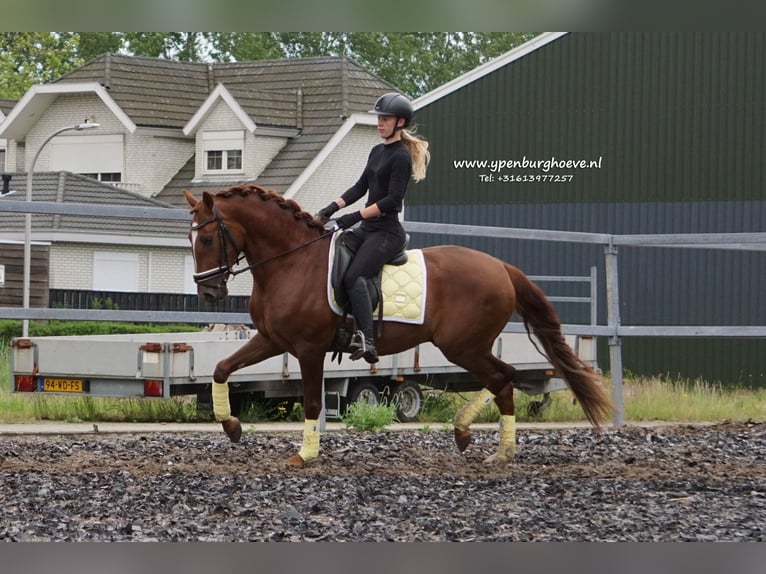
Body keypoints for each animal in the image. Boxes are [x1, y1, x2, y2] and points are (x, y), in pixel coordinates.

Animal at [183, 184, 616, 468]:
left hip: (463, 346)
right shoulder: (273, 340)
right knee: (504, 378)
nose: (208, 293)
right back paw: (489, 445)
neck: (292, 262)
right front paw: (232, 427)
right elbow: (221, 369)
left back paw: (486, 444)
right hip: (469, 346)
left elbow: (312, 402)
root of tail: (501, 267)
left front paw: (304, 454)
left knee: (502, 378)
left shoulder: (308, 349)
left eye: (206, 238)